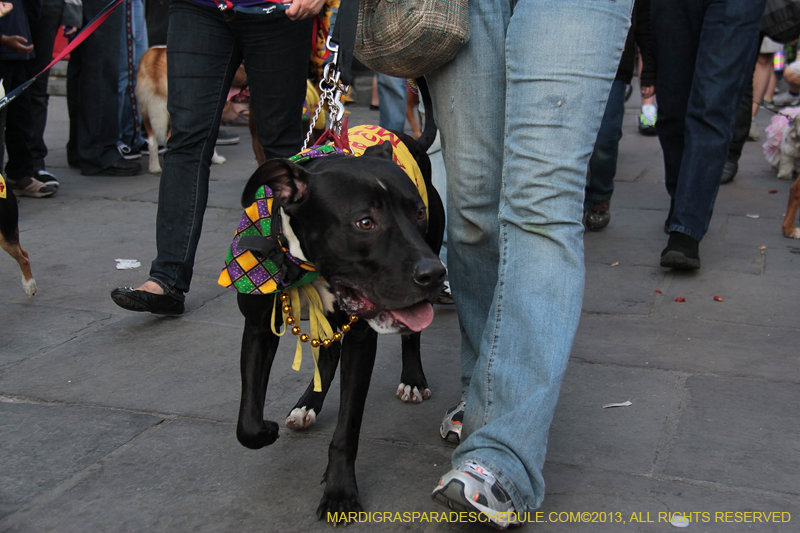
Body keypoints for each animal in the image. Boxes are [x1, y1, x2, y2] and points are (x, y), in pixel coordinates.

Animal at [231, 78, 446, 516]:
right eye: (365, 222)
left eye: (416, 212)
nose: (434, 273)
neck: (307, 268)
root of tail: (412, 140)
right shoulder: (258, 327)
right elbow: (247, 422)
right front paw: (266, 429)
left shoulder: (362, 338)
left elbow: (349, 426)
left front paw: (340, 491)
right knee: (327, 354)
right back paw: (307, 404)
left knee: (410, 335)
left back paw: (412, 380)